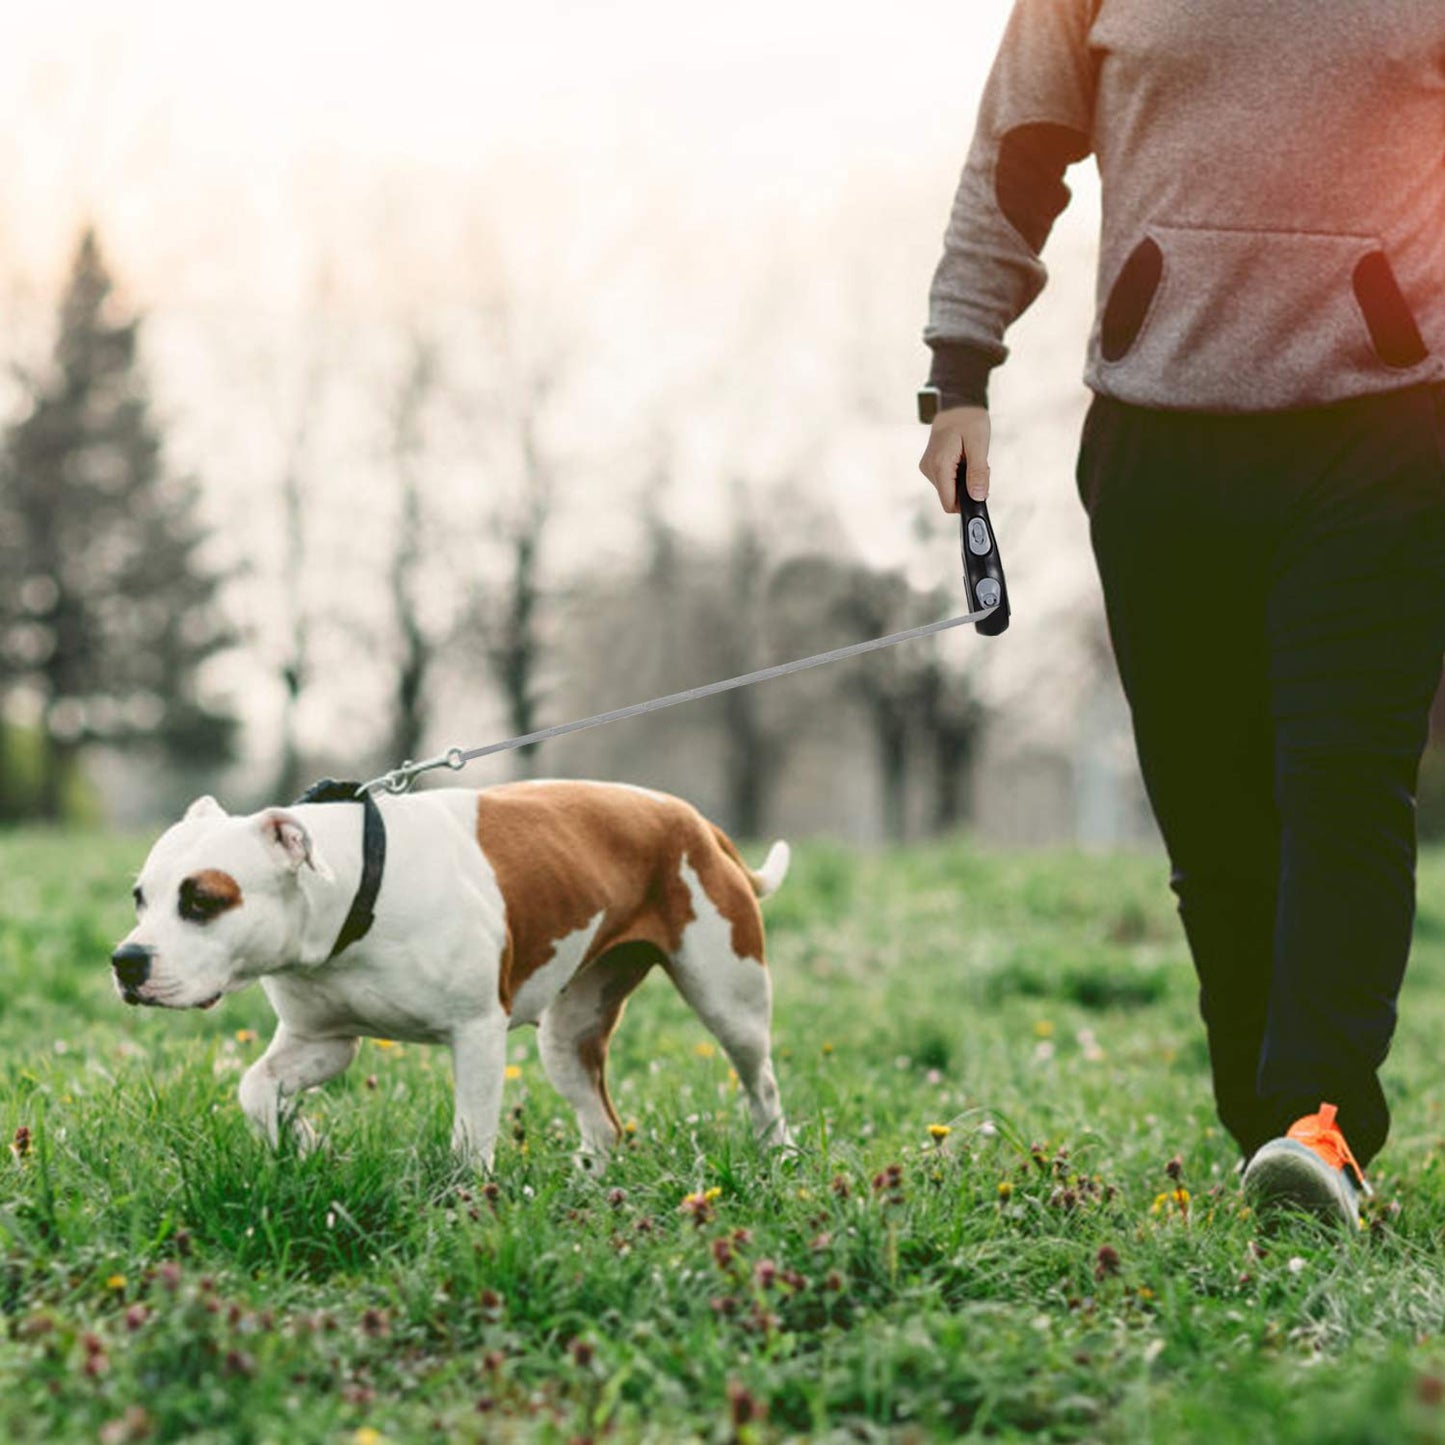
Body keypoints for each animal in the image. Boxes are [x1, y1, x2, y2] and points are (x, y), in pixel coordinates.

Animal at [111, 780, 791, 1173]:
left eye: (202, 900)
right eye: (139, 898)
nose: (127, 961)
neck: (358, 887)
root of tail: (695, 820)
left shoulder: (477, 1034)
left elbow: (469, 1140)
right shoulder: (321, 1041)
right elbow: (256, 1090)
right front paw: (304, 1144)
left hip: (730, 1000)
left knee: (761, 1083)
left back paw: (778, 1156)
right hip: (569, 1034)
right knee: (604, 1125)